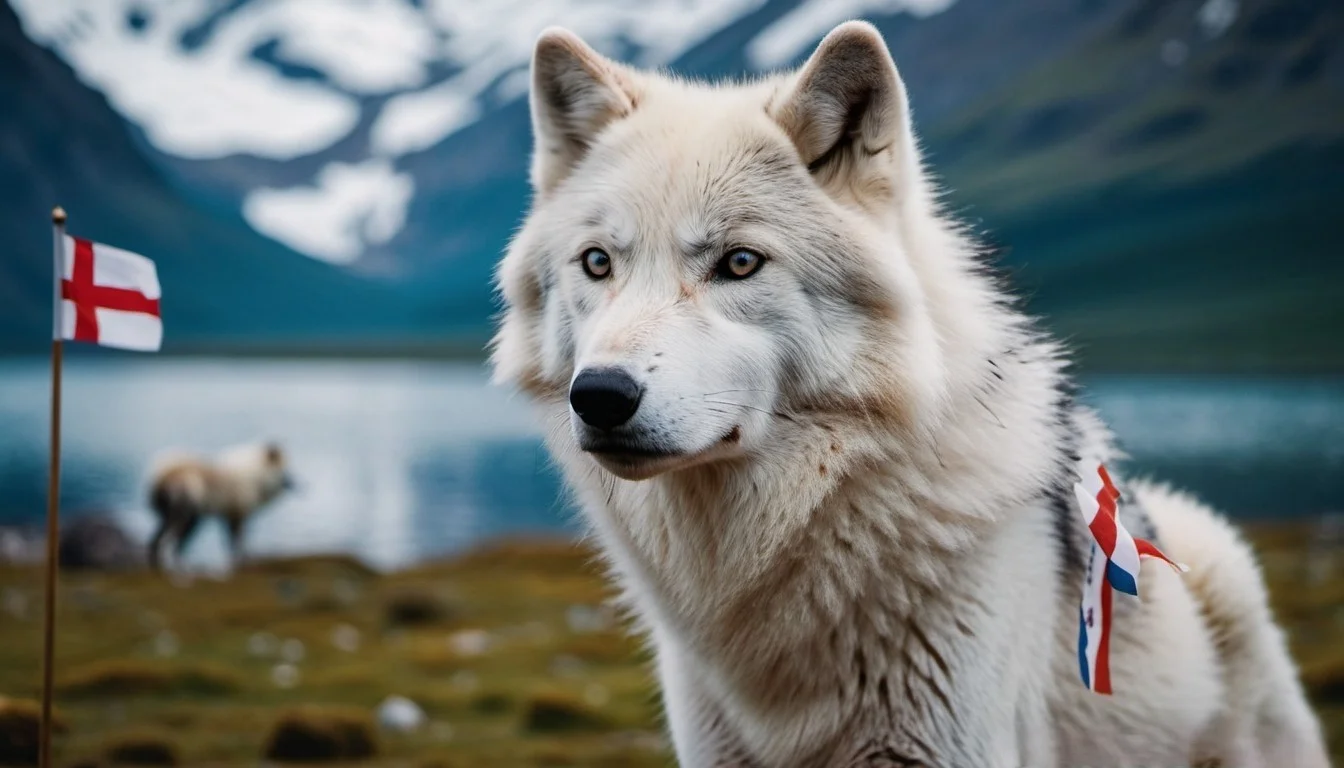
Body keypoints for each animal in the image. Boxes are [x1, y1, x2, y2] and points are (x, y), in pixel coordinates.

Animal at [147, 442, 294, 572]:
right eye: (284, 469)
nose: (295, 484)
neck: (257, 476)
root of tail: (160, 477)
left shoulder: (229, 515)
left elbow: (231, 542)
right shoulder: (238, 514)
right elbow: (238, 541)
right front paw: (243, 560)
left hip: (184, 518)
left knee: (163, 542)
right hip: (184, 515)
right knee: (168, 542)